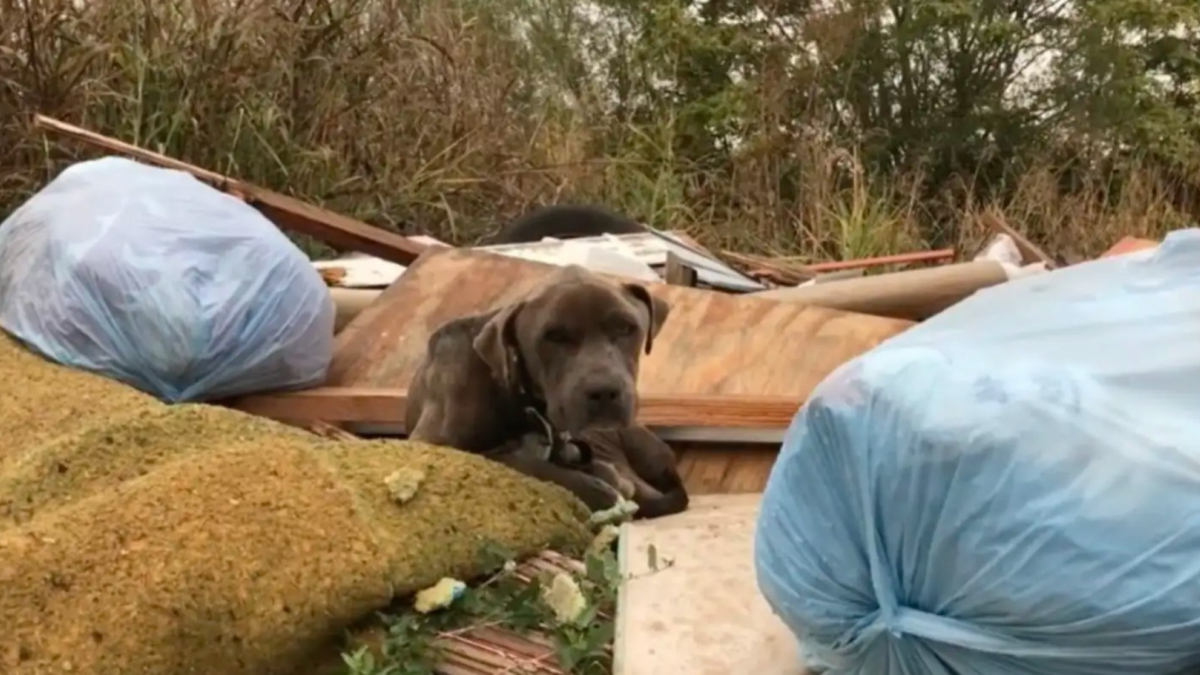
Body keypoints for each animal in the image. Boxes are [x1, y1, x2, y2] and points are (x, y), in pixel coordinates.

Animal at [405, 263, 686, 509]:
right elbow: (510, 461)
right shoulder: (430, 443)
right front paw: (593, 487)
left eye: (626, 328)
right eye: (554, 336)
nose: (604, 392)